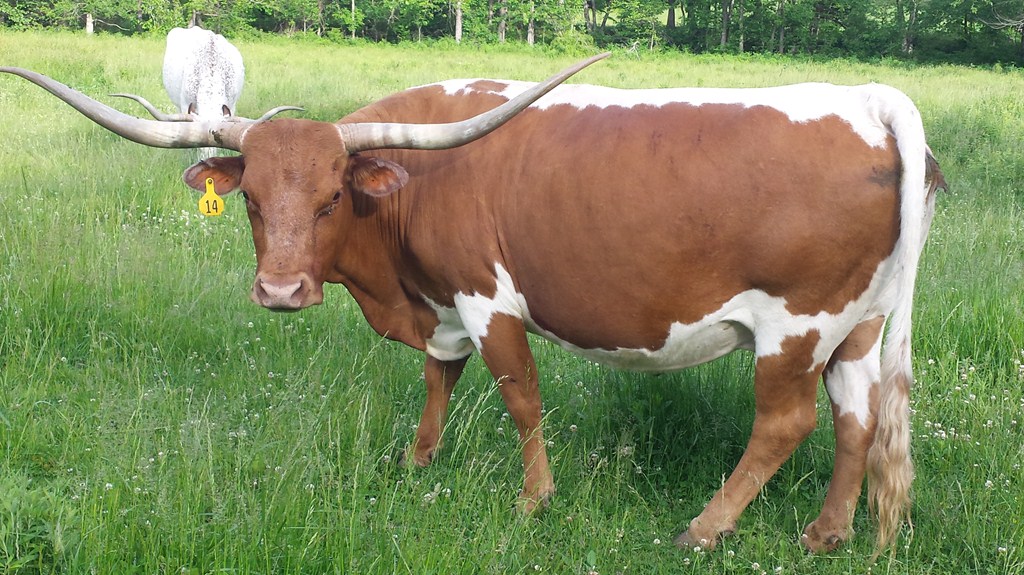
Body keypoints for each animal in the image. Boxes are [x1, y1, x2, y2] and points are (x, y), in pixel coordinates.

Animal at [0, 54, 944, 555]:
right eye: (253, 201)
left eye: (333, 197)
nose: (280, 291)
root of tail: (871, 98)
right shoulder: (443, 310)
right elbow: (437, 380)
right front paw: (418, 462)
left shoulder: (488, 299)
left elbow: (520, 395)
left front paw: (535, 500)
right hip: (856, 325)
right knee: (857, 417)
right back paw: (828, 534)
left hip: (797, 324)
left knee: (784, 422)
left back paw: (704, 529)